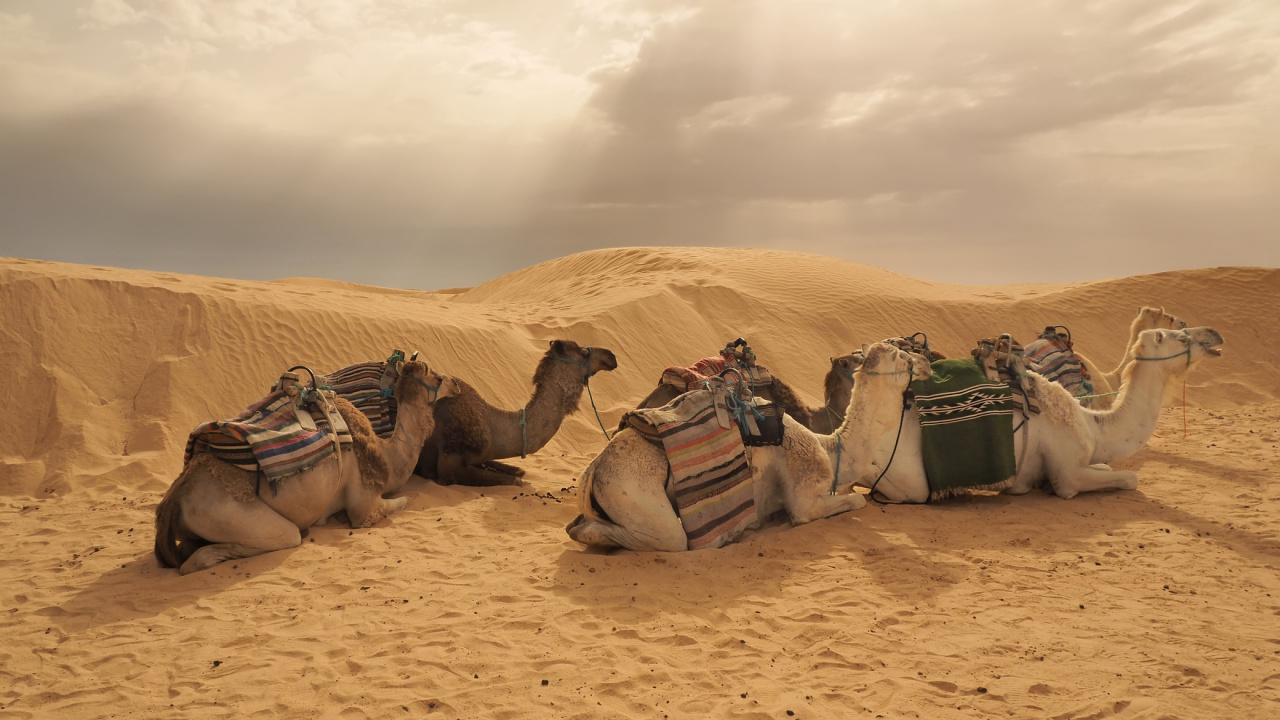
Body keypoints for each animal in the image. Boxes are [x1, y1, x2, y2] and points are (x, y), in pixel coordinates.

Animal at [154, 360, 457, 575]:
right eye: (438, 377)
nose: (456, 382)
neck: (388, 454)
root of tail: (174, 497)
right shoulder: (364, 505)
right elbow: (402, 501)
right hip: (229, 512)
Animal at [415, 340, 618, 487]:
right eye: (584, 352)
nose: (612, 355)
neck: (491, 425)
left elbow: (518, 471)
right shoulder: (449, 465)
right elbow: (516, 480)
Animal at [566, 343, 932, 552]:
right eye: (902, 355)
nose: (927, 362)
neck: (831, 446)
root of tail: (593, 469)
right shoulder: (804, 500)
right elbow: (857, 500)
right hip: (634, 494)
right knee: (665, 537)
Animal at [865, 327, 1222, 503]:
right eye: (1182, 336)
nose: (1216, 335)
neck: (1093, 426)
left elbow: (1108, 467)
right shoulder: (1068, 472)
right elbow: (1129, 478)